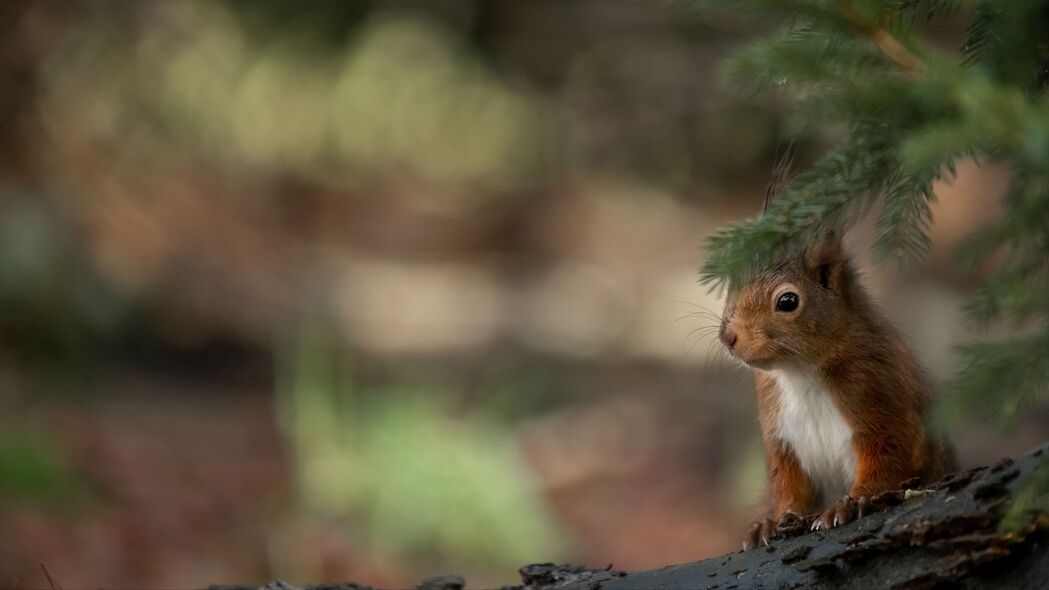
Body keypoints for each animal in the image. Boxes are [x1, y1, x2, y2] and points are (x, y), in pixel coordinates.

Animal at [717, 227, 956, 550]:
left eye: (788, 301)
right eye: (732, 286)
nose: (727, 337)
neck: (801, 373)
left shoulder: (879, 396)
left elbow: (889, 461)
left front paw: (851, 503)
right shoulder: (780, 435)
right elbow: (788, 483)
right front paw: (771, 523)